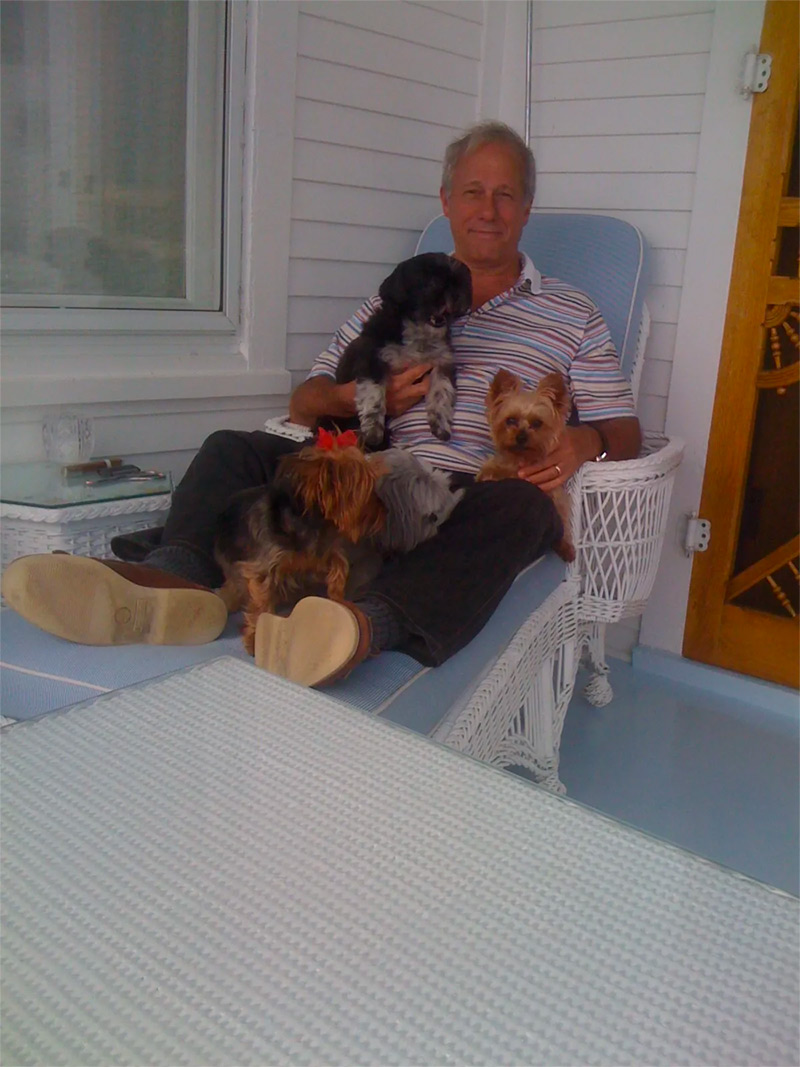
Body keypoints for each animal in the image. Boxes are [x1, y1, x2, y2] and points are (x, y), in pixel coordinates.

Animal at [332, 253, 473, 450]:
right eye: (432, 282)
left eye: (459, 283)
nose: (457, 295)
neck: (418, 333)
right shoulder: (373, 358)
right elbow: (374, 393)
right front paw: (373, 430)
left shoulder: (442, 363)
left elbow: (442, 392)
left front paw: (441, 425)